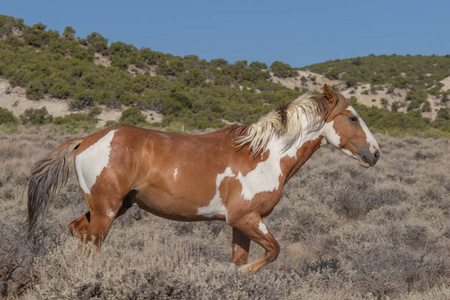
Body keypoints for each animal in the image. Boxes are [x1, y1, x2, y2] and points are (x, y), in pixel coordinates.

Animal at [27, 85, 380, 274]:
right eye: (352, 117)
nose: (375, 153)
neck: (263, 155)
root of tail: (86, 140)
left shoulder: (240, 224)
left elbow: (243, 259)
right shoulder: (247, 218)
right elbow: (273, 252)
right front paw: (242, 274)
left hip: (113, 207)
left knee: (77, 231)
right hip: (107, 210)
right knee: (92, 247)